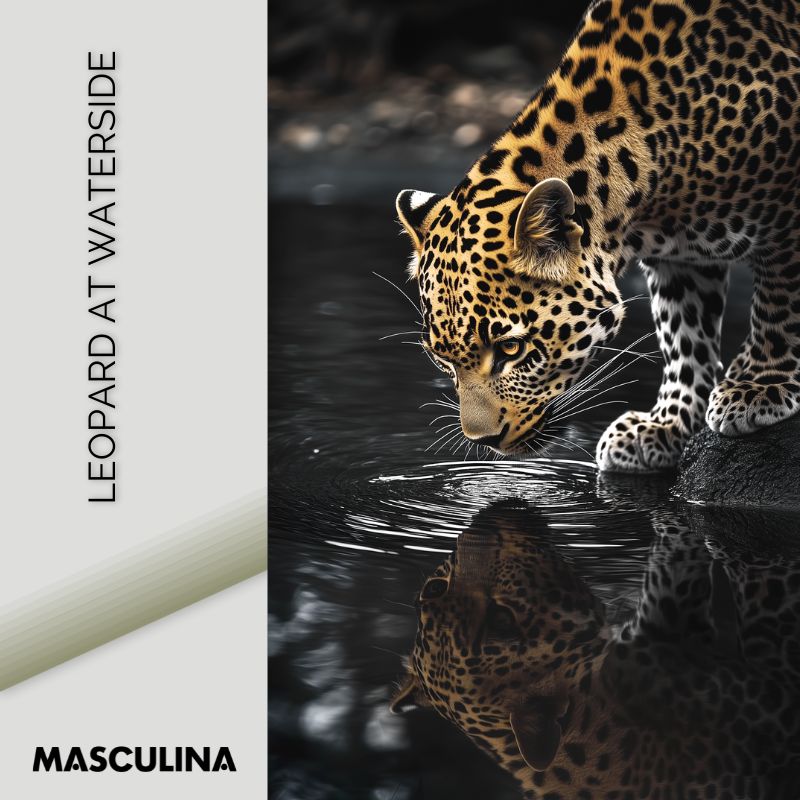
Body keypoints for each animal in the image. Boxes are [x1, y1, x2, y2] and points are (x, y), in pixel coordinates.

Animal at [395, 0, 800, 472]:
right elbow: (684, 333)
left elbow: (778, 302)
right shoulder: (680, 257)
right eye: (440, 357)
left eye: (511, 349)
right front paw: (667, 423)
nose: (485, 441)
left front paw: (758, 387)